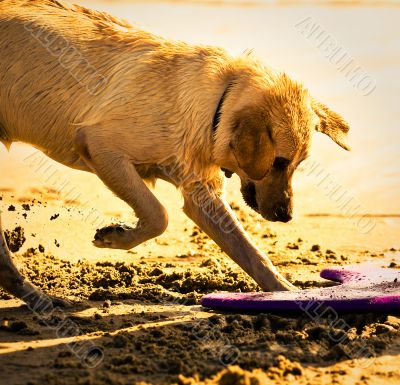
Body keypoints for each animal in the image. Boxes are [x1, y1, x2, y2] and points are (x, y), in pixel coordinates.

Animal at [0, 0, 348, 308]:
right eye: (278, 162)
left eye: (297, 164)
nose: (286, 216)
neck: (216, 103)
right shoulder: (100, 146)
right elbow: (159, 215)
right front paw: (116, 237)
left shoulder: (200, 194)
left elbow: (252, 254)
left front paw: (288, 292)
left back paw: (36, 296)